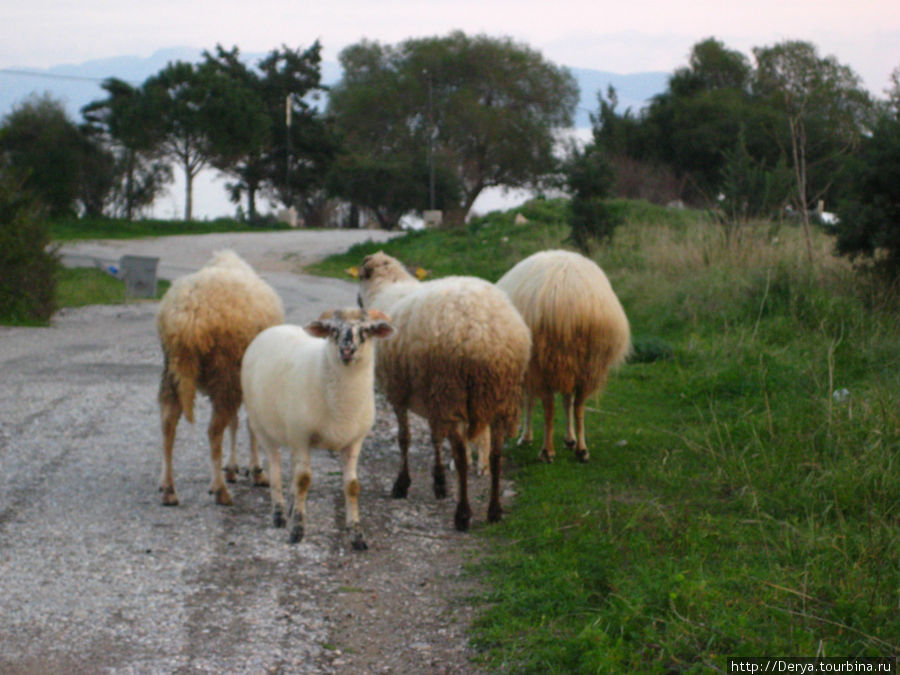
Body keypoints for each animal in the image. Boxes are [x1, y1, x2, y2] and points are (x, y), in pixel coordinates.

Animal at [155, 250, 282, 508]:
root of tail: (188, 316)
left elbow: (237, 422)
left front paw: (234, 468)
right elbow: (249, 424)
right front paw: (256, 471)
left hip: (172, 371)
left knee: (167, 424)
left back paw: (168, 488)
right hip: (226, 371)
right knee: (214, 430)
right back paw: (220, 490)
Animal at [241, 306, 392, 548]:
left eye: (366, 331)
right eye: (333, 331)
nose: (346, 350)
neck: (343, 408)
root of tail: (273, 329)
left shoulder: (354, 441)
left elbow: (352, 486)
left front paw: (357, 534)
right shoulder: (301, 436)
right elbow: (304, 481)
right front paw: (297, 530)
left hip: (290, 433)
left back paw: (291, 505)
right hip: (262, 426)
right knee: (275, 468)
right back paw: (279, 513)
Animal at [354, 251, 536, 532]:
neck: (387, 287)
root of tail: (487, 336)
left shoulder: (398, 392)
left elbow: (404, 438)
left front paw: (402, 484)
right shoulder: (430, 397)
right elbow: (434, 438)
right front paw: (439, 482)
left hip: (452, 390)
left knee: (461, 456)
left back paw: (463, 514)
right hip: (499, 397)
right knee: (496, 455)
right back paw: (494, 510)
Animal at [492, 248, 632, 464]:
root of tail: (568, 302)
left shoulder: (531, 369)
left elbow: (530, 401)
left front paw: (526, 437)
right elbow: (567, 401)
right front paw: (570, 439)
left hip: (543, 361)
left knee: (549, 406)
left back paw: (547, 451)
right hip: (587, 364)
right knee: (579, 405)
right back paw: (582, 449)